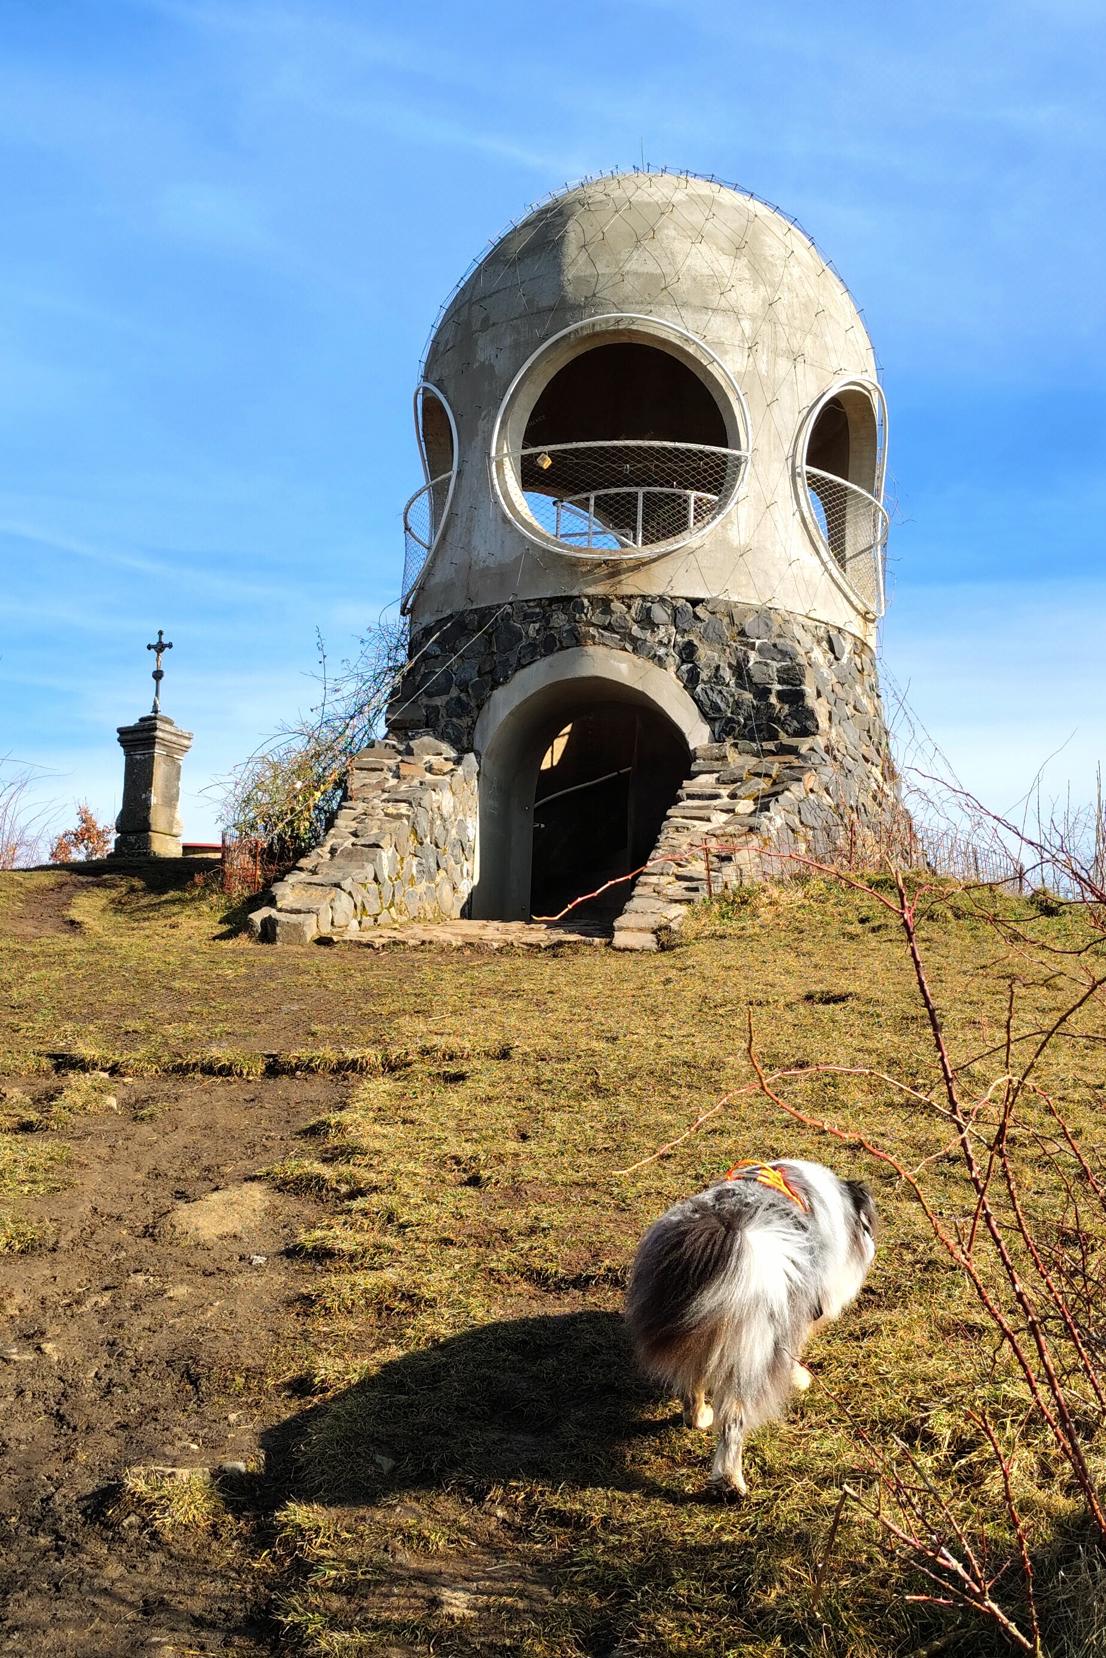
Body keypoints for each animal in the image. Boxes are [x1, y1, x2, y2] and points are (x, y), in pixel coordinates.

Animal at [625, 1159, 876, 1493]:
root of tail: (729, 1230)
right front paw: (800, 1379)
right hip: (754, 1350)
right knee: (733, 1420)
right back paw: (731, 1483)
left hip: (695, 1337)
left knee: (692, 1384)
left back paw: (699, 1418)